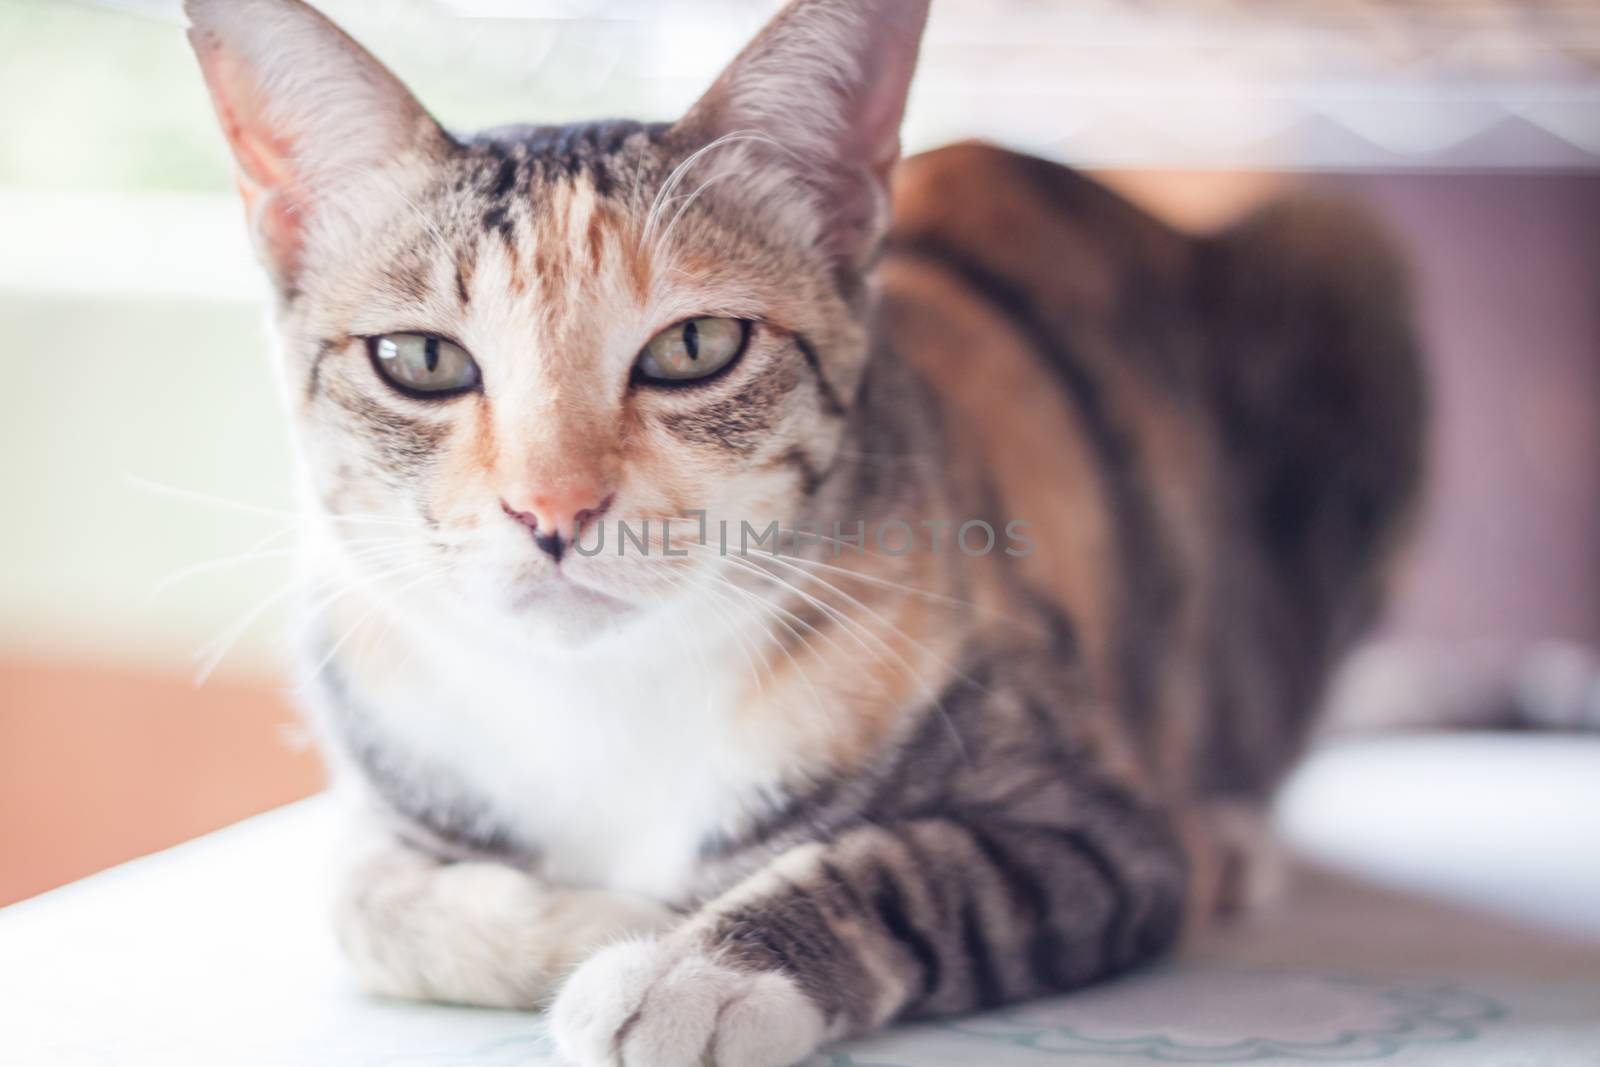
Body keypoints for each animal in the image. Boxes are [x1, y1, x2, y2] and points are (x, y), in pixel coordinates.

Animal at [187, 0, 1427, 1062]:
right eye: (421, 359)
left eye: (693, 347)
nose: (553, 509)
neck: (603, 691)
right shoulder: (381, 764)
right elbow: (362, 904)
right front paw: (599, 919)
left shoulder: (1093, 820)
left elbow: (922, 867)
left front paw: (693, 969)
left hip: (1342, 248)